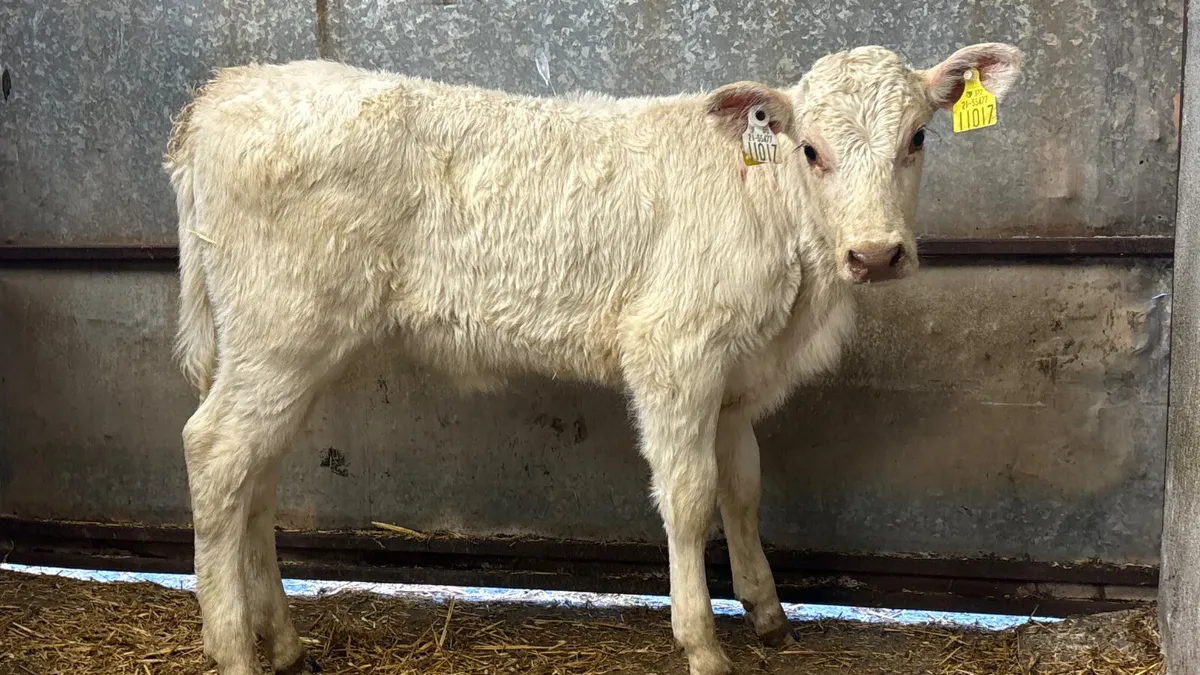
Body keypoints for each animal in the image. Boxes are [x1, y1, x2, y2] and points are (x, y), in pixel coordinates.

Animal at [164, 42, 1022, 675]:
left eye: (917, 137)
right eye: (810, 149)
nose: (875, 254)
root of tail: (229, 88)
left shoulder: (736, 379)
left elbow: (742, 488)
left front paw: (768, 612)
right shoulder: (674, 350)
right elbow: (690, 496)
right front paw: (702, 641)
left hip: (284, 348)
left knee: (256, 475)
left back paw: (283, 642)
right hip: (281, 331)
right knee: (213, 452)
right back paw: (234, 648)